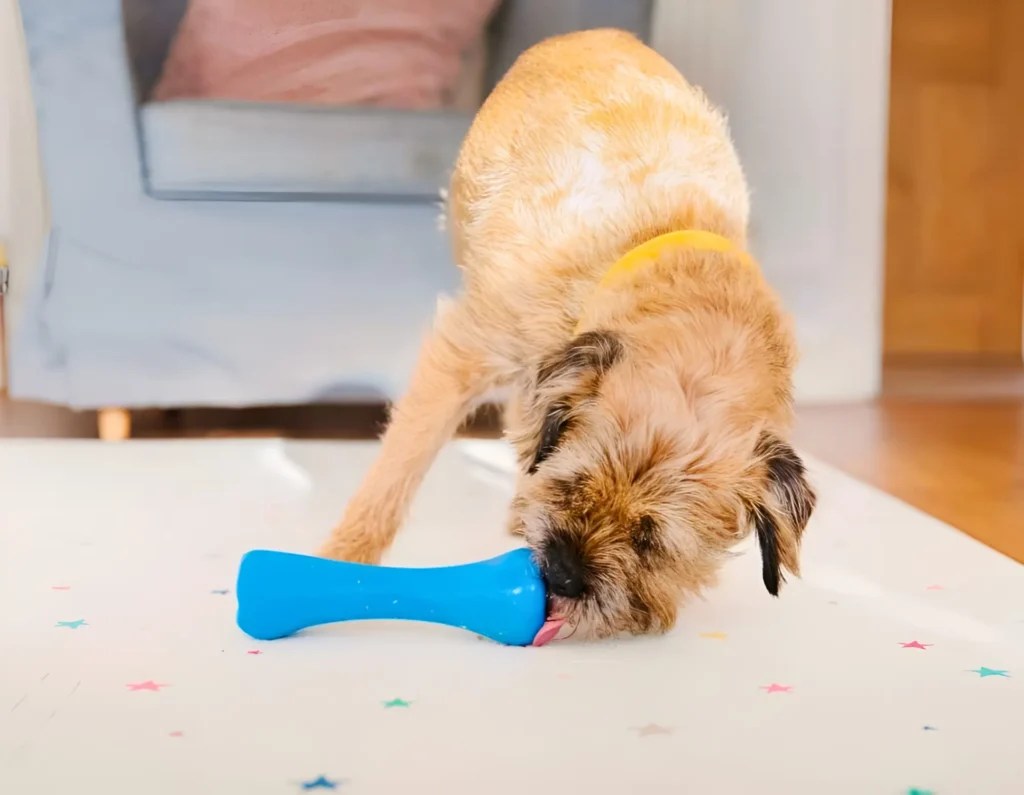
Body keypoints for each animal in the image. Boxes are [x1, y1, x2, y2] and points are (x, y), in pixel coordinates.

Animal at [319, 27, 815, 639]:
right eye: (573, 485)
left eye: (650, 541)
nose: (563, 576)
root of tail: (594, 32)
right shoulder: (462, 353)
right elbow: (394, 475)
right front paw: (341, 560)